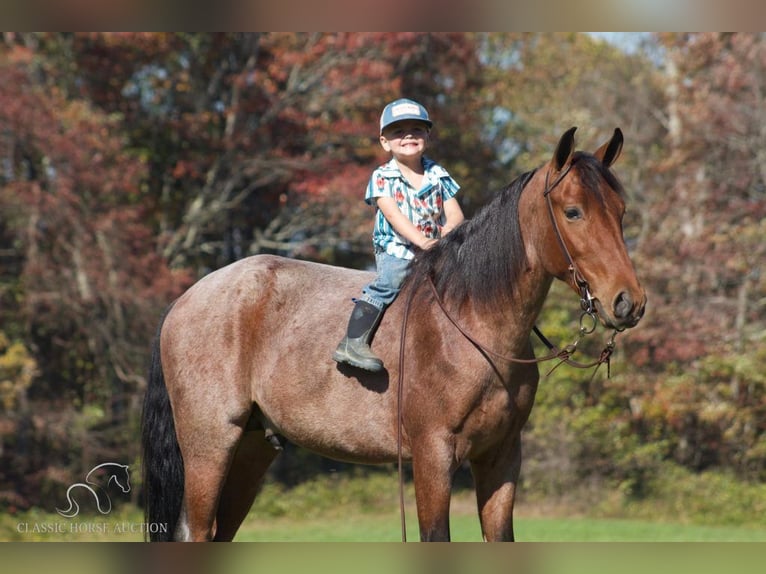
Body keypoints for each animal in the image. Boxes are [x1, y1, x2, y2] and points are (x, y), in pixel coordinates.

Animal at [142, 127, 648, 544]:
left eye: (621, 211)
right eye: (573, 211)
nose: (629, 303)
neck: (472, 324)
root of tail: (187, 299)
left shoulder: (501, 458)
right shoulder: (432, 456)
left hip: (250, 451)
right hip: (210, 446)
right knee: (196, 531)